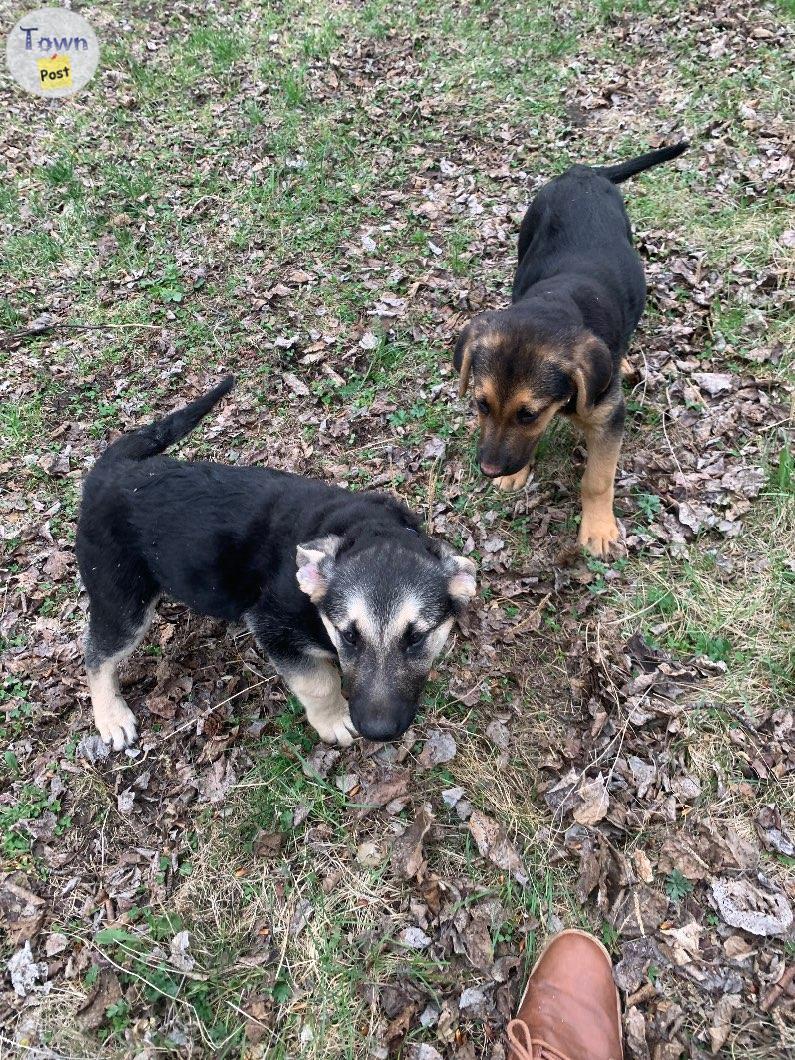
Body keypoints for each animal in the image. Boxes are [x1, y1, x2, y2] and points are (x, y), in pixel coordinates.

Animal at [76, 377, 472, 750]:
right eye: (348, 635)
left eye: (417, 638)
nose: (378, 732)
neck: (366, 529)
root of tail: (114, 469)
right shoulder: (272, 625)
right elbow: (317, 681)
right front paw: (334, 719)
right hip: (123, 600)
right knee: (96, 655)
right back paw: (111, 718)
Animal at [457, 143, 686, 555]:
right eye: (481, 405)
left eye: (528, 415)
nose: (488, 469)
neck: (553, 302)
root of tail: (582, 171)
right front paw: (518, 473)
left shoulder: (609, 418)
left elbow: (597, 479)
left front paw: (598, 528)